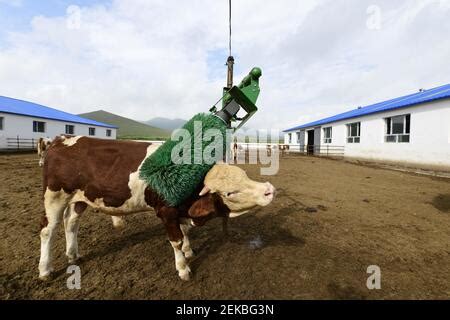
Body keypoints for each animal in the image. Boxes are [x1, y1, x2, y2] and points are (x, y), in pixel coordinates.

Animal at [39, 135, 274, 280]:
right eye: (230, 193)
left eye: (245, 175)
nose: (269, 189)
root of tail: (61, 140)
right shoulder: (166, 212)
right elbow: (176, 240)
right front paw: (183, 267)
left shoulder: (181, 211)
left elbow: (186, 231)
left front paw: (189, 251)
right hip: (54, 196)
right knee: (47, 230)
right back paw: (45, 269)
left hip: (79, 199)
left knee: (71, 223)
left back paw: (73, 255)